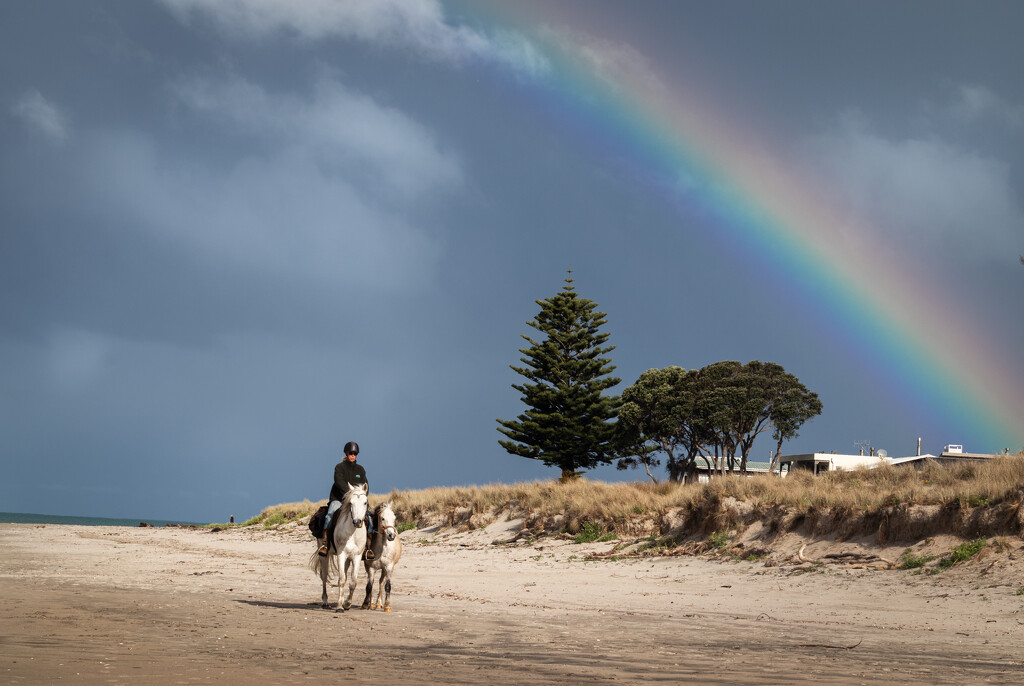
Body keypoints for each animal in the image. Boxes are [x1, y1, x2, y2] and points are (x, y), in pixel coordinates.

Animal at [309, 483, 370, 614]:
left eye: (365, 502)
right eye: (351, 503)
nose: (357, 522)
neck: (352, 533)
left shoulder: (356, 557)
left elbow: (352, 582)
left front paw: (347, 604)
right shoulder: (341, 555)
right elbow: (341, 580)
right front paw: (339, 607)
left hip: (347, 560)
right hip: (324, 555)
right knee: (324, 576)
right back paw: (325, 602)